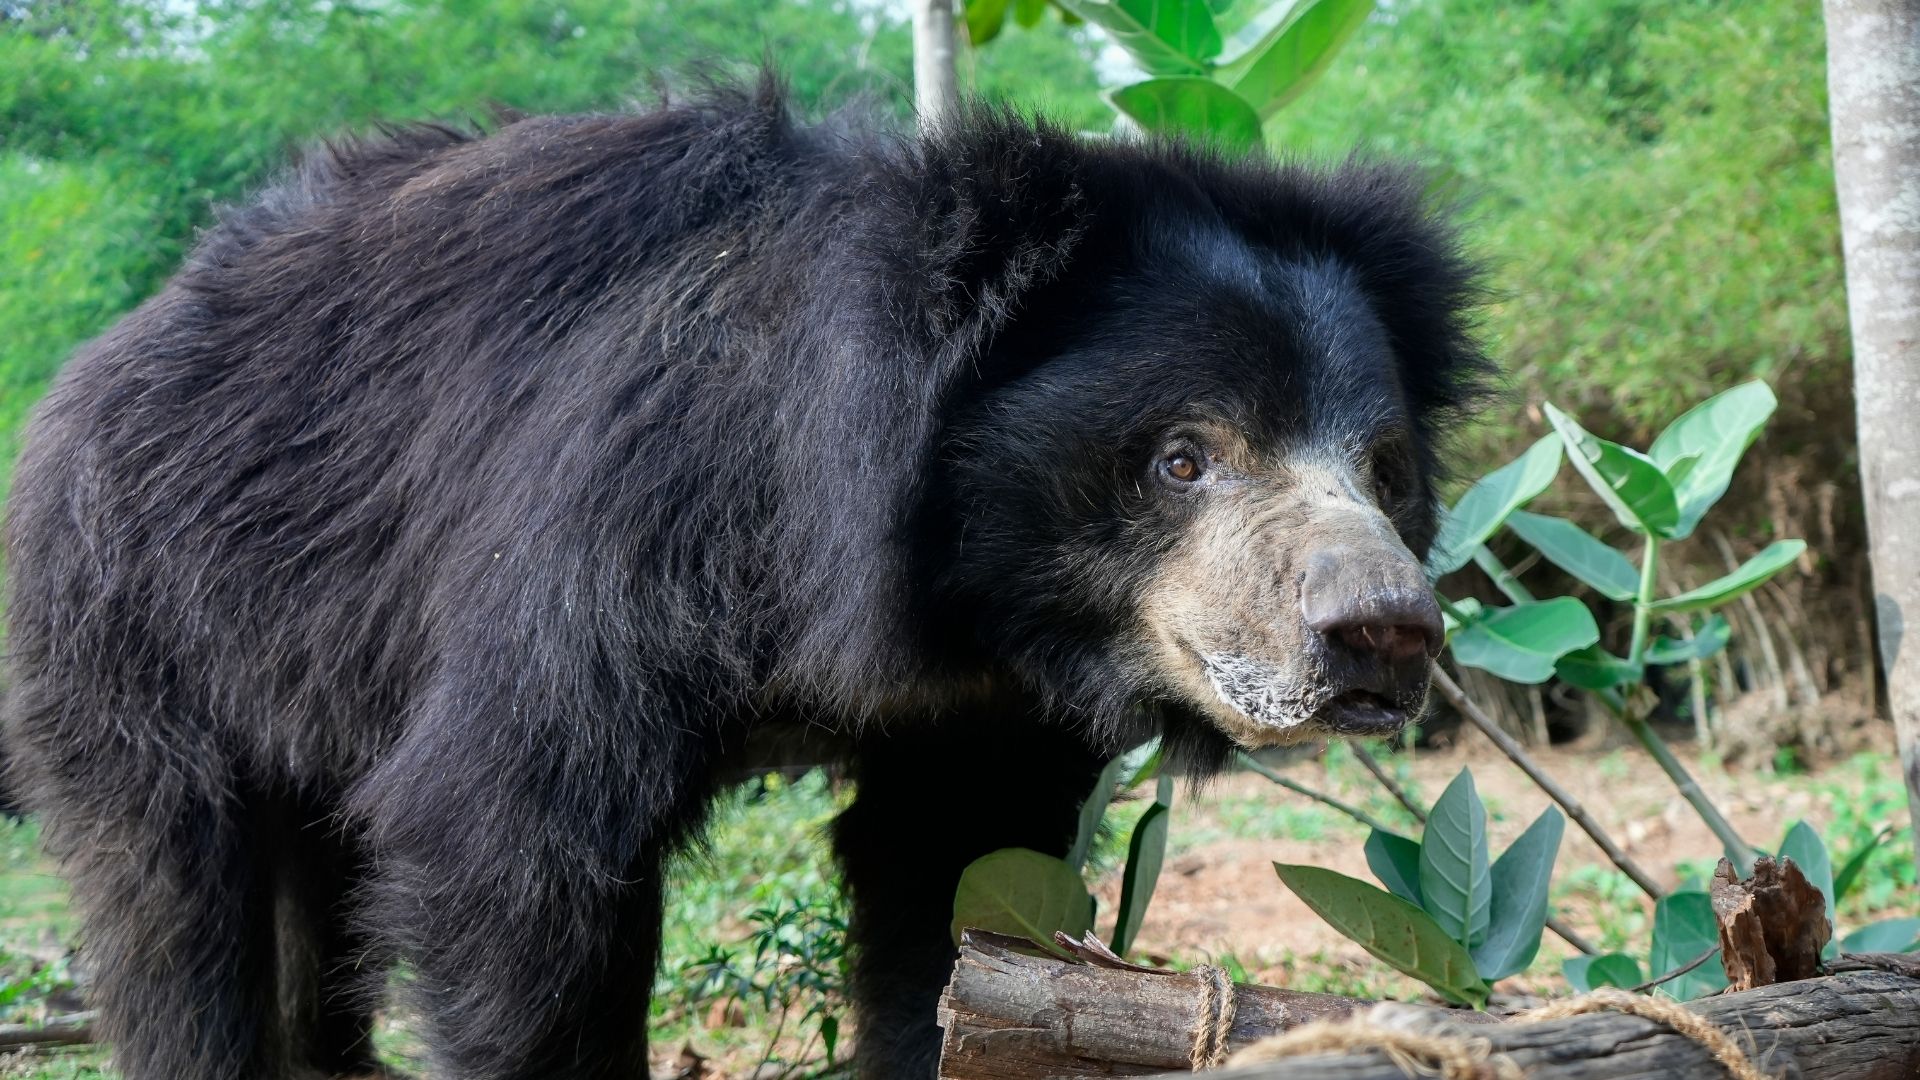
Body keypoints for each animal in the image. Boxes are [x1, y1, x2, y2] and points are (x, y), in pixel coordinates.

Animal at [2, 79, 1488, 1080]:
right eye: (1185, 457)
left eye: (1384, 468)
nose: (1384, 636)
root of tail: (98, 360)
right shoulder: (624, 518)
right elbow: (506, 831)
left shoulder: (978, 708)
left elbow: (948, 887)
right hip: (136, 619)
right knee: (174, 910)